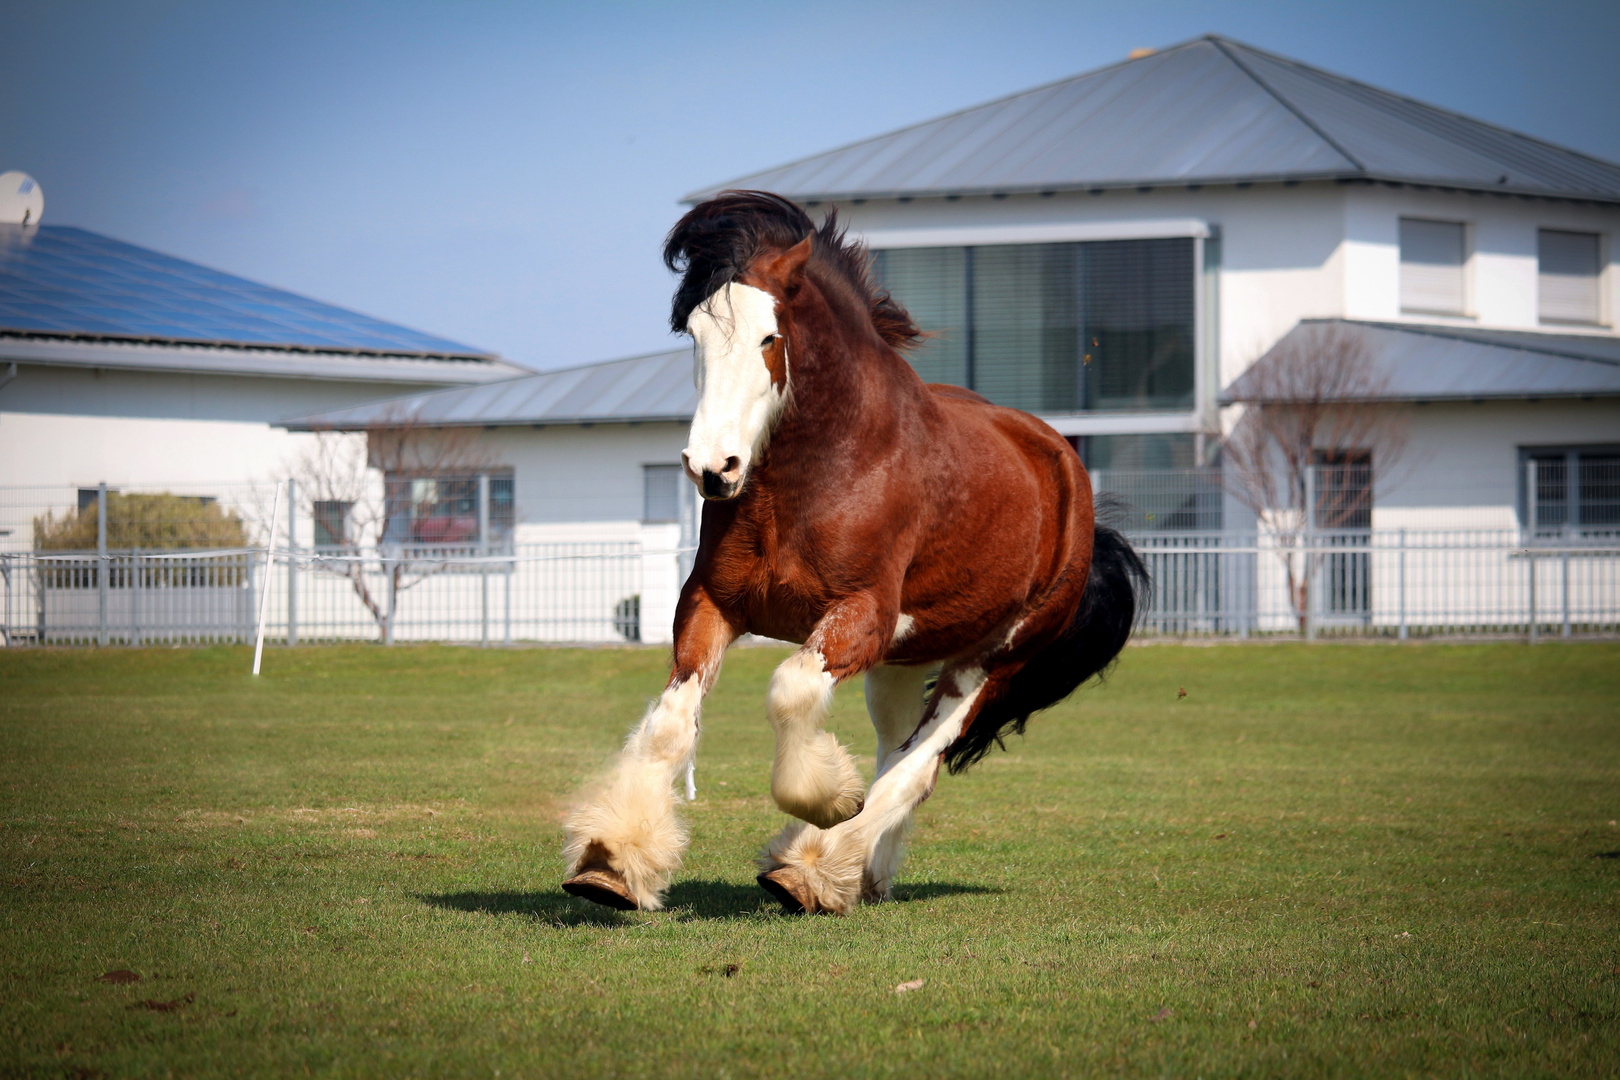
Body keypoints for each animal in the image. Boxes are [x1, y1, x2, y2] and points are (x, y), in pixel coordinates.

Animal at [563, 191, 1146, 913]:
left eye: (769, 338)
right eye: (694, 335)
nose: (713, 468)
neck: (819, 475)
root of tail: (1067, 471)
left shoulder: (860, 615)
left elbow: (790, 693)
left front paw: (829, 802)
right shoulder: (711, 605)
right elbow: (672, 723)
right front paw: (611, 863)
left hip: (991, 661)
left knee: (917, 767)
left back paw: (814, 868)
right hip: (901, 662)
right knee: (897, 752)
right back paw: (862, 875)